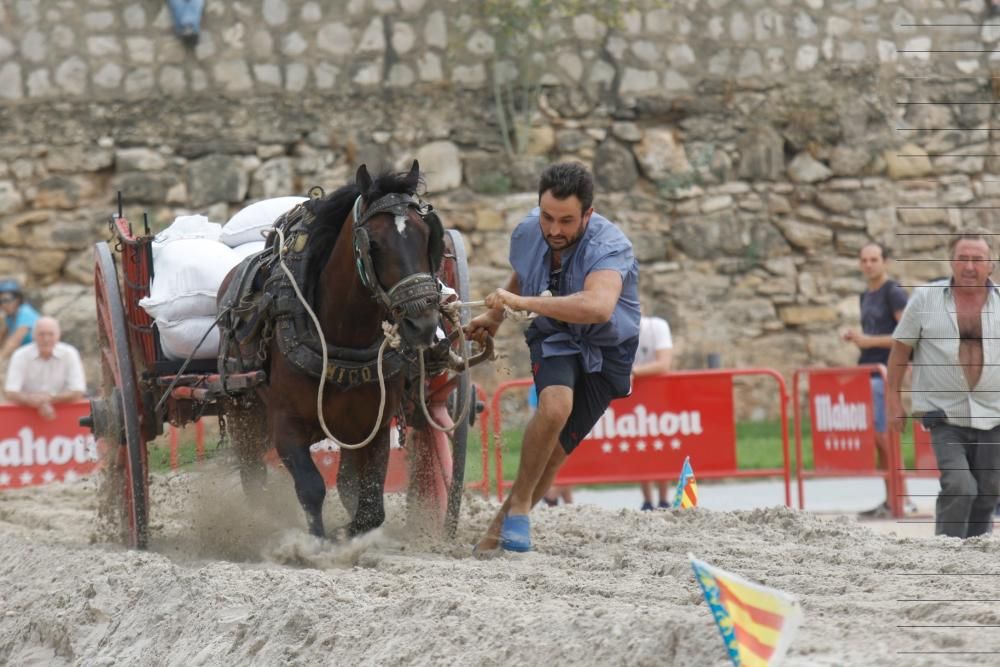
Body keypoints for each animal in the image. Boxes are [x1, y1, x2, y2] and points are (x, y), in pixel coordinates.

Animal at [221, 163, 444, 544]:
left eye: (428, 236)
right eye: (375, 244)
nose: (423, 324)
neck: (345, 335)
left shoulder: (373, 425)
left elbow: (369, 501)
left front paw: (347, 534)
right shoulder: (285, 424)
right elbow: (311, 487)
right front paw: (317, 543)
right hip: (243, 411)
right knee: (253, 477)